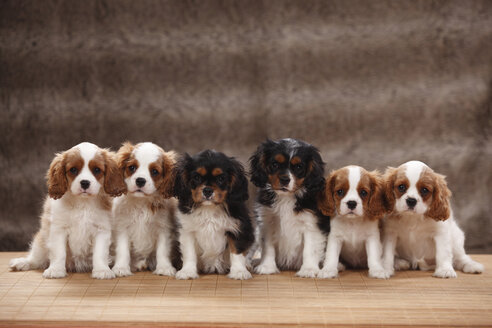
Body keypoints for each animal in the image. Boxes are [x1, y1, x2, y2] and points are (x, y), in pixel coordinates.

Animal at [9, 142, 126, 278]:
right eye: (73, 170)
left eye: (97, 170)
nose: (85, 183)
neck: (83, 203)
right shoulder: (59, 229)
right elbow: (59, 252)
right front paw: (55, 270)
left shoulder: (101, 230)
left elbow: (100, 253)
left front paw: (102, 270)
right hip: (40, 242)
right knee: (36, 259)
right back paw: (22, 263)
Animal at [111, 142, 179, 278]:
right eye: (132, 167)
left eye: (154, 171)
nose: (140, 180)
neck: (142, 202)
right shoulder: (122, 227)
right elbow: (122, 249)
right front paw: (121, 268)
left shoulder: (164, 228)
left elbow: (163, 250)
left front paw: (164, 268)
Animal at [173, 149, 254, 280]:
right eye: (196, 177)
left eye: (221, 178)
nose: (207, 190)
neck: (209, 208)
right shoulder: (187, 230)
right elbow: (189, 252)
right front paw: (187, 271)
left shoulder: (237, 229)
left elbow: (236, 251)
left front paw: (239, 271)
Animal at [250, 138, 326, 276]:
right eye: (275, 164)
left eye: (299, 167)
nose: (285, 179)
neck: (286, 197)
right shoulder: (267, 223)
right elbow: (268, 247)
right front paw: (267, 266)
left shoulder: (311, 225)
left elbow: (310, 249)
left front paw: (308, 269)